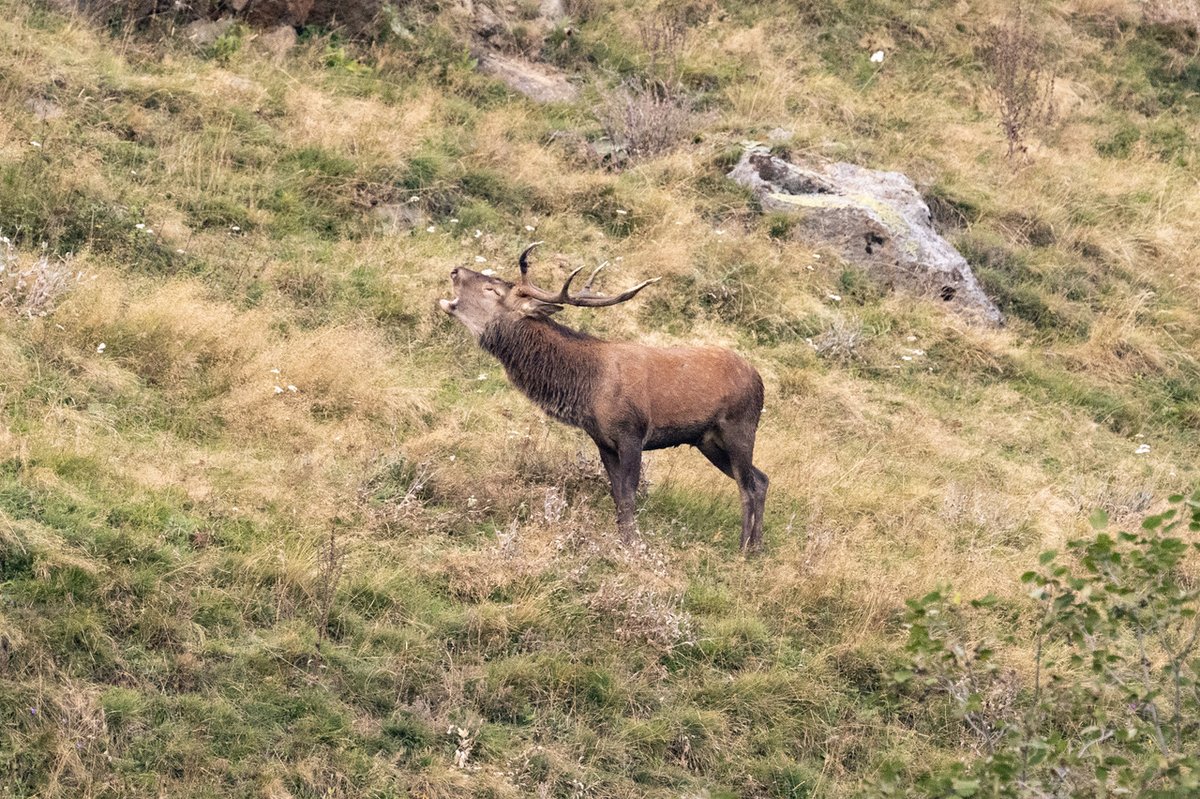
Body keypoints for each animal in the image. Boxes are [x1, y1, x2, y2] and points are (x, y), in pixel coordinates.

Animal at [438, 243, 769, 551]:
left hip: (739, 428)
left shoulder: (632, 432)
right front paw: (622, 541)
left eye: (491, 289)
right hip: (708, 441)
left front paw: (634, 546)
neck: (589, 388)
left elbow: (630, 495)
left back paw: (744, 547)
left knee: (748, 486)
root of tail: (759, 380)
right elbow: (618, 496)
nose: (455, 270)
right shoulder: (603, 441)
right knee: (761, 479)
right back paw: (756, 545)